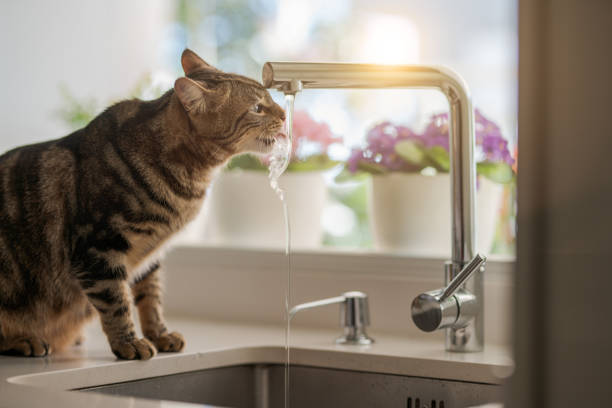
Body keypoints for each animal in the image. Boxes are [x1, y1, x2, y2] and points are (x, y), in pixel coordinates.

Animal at [0, 48, 286, 360]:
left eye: (270, 100)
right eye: (258, 108)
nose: (285, 114)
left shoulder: (150, 256)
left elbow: (151, 298)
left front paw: (160, 334)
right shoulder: (99, 249)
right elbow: (116, 302)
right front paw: (128, 342)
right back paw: (23, 340)